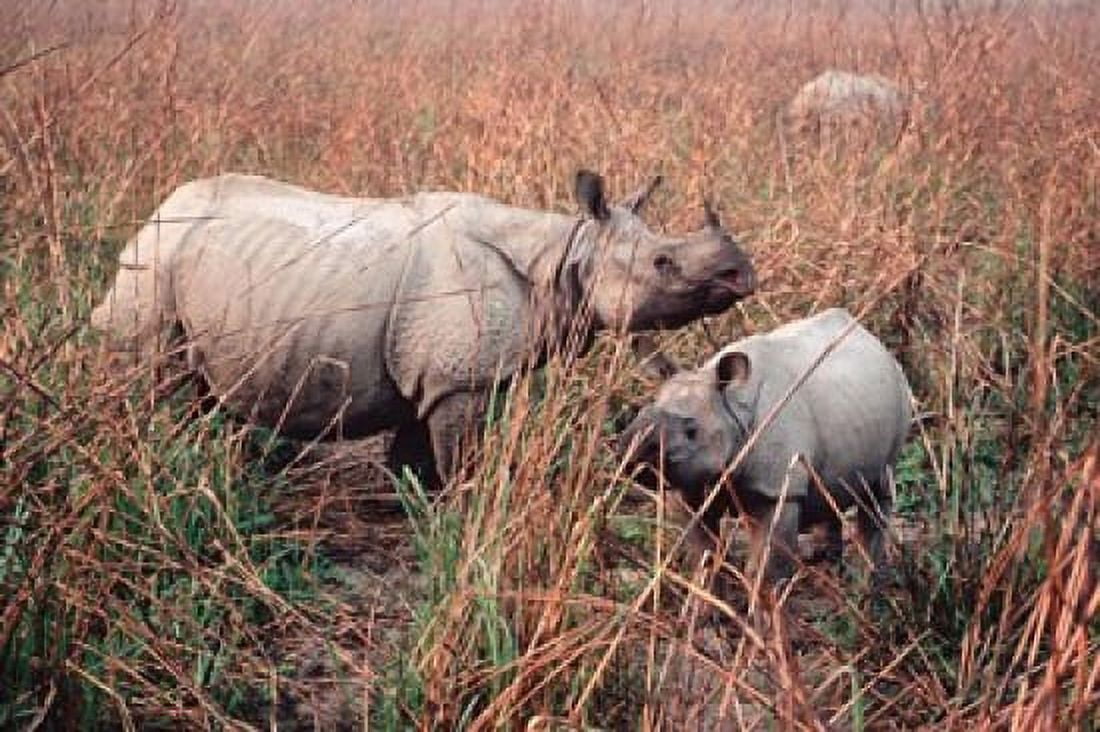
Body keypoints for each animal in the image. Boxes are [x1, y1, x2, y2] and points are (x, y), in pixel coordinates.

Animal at [92, 170, 755, 481]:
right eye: (663, 263)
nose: (742, 273)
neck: (566, 254)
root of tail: (154, 216)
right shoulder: (459, 380)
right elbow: (457, 461)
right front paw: (455, 518)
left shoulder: (432, 377)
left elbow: (412, 456)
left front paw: (411, 508)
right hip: (153, 267)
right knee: (152, 379)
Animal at [619, 308, 912, 585]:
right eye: (639, 413)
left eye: (692, 432)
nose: (633, 456)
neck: (732, 407)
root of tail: (872, 339)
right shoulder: (694, 487)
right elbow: (703, 558)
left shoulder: (779, 490)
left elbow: (765, 571)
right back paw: (824, 565)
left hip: (899, 391)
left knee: (878, 489)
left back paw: (860, 585)